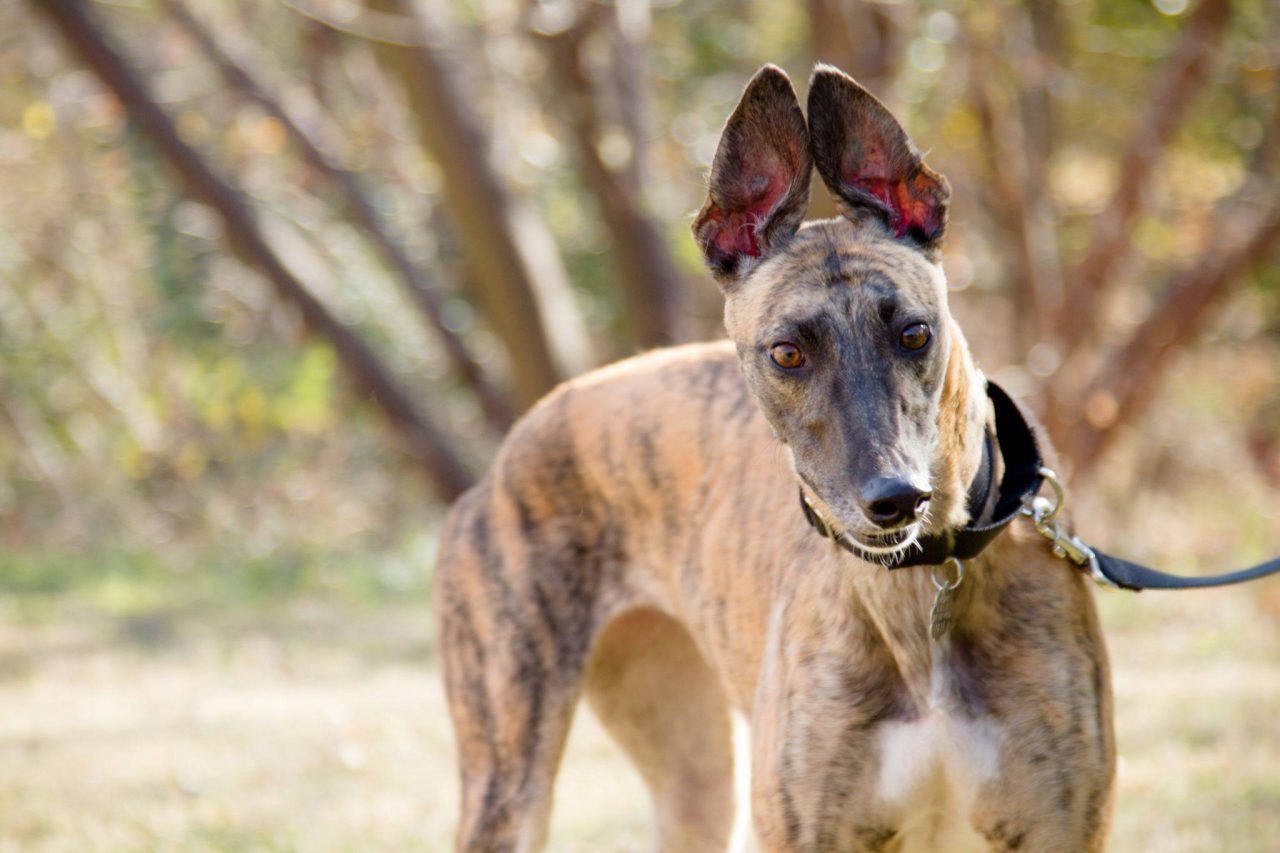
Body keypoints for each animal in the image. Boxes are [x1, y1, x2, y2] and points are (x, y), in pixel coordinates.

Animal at [432, 63, 1111, 845]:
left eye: (914, 333)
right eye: (787, 352)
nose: (897, 500)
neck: (921, 588)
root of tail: (511, 451)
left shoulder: (1059, 825)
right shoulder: (808, 829)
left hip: (691, 773)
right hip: (509, 774)